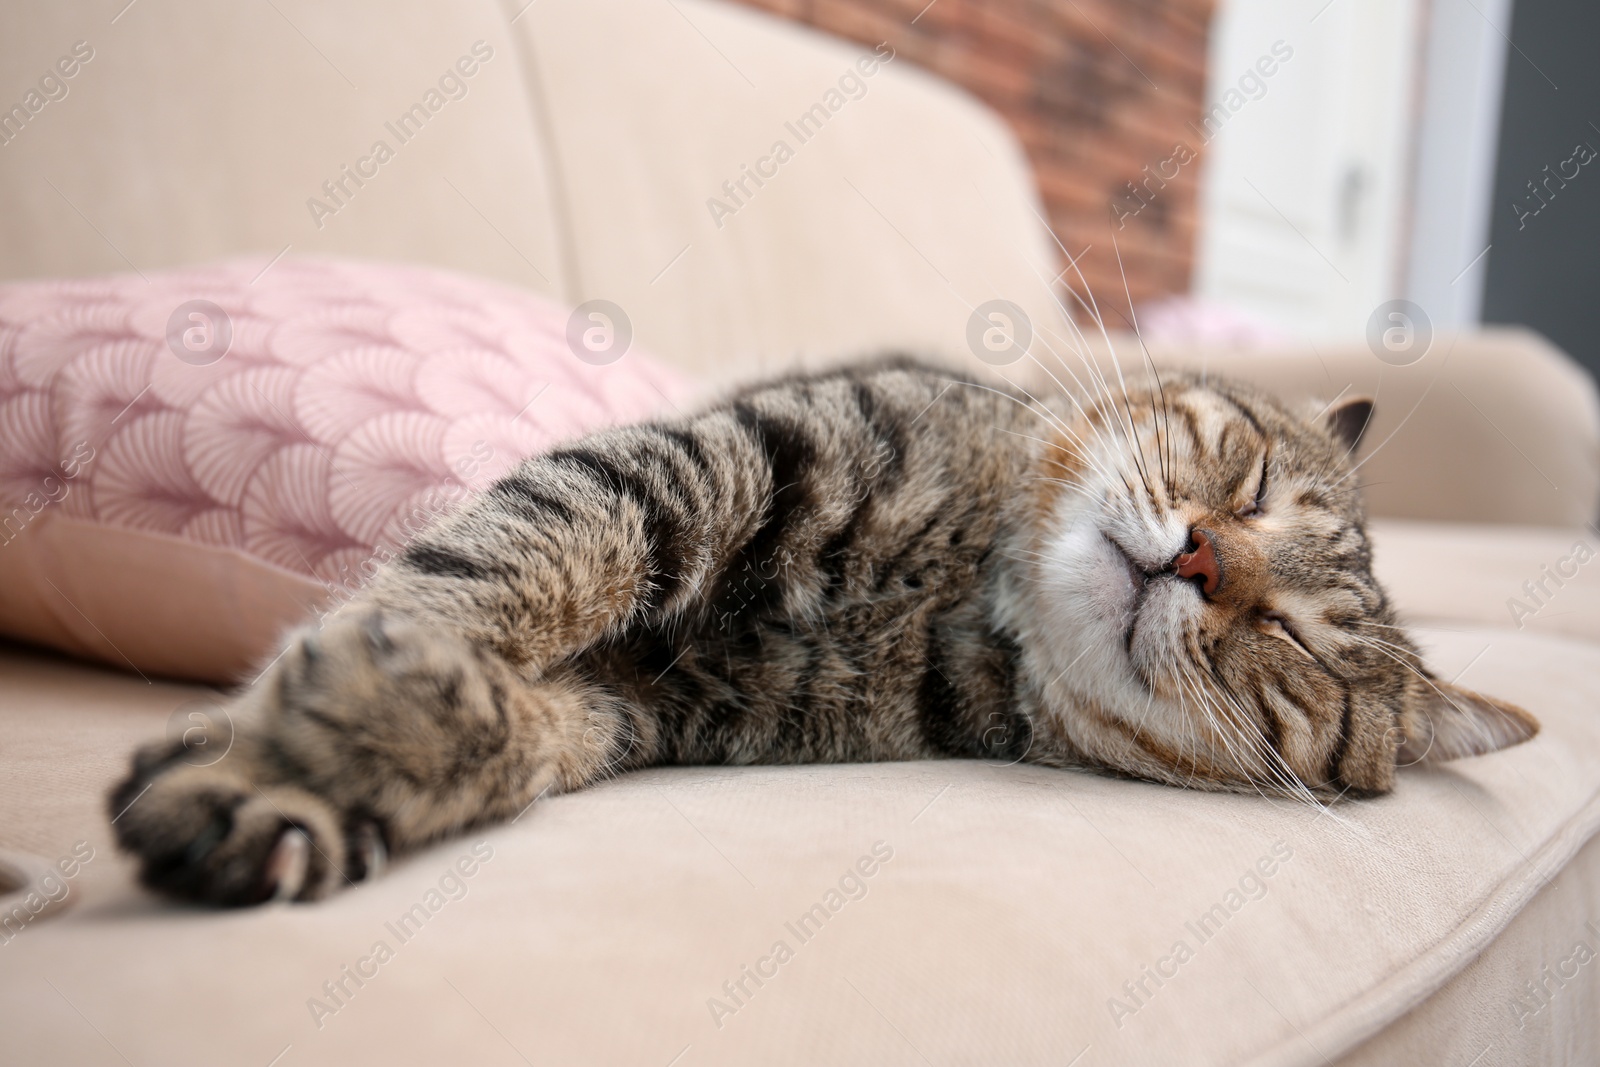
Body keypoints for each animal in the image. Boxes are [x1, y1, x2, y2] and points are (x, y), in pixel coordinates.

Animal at [109, 356, 1536, 902]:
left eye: (1291, 639)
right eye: (1248, 484)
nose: (1201, 553)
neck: (966, 591)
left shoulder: (656, 701)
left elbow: (521, 719)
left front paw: (330, 764)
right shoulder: (707, 461)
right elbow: (492, 571)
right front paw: (279, 748)